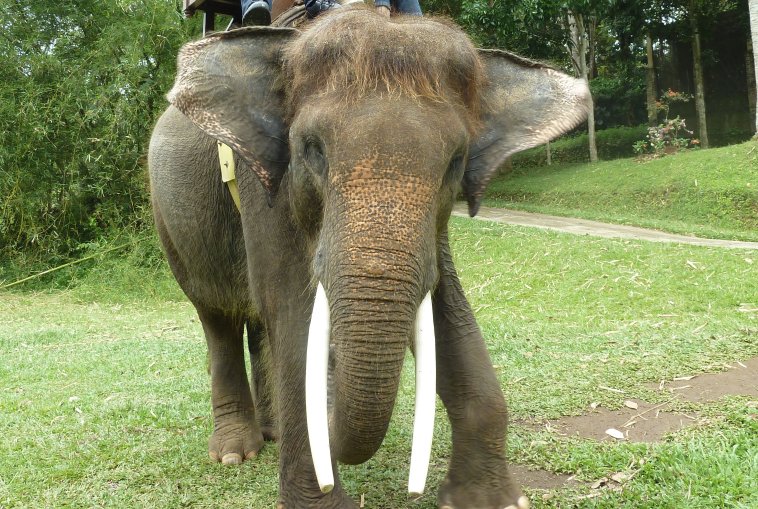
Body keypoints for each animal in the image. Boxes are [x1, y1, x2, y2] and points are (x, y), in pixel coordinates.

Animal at [148, 6, 588, 509]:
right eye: (312, 149)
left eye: (455, 162)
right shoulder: (266, 185)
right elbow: (292, 308)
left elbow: (447, 309)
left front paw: (489, 500)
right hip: (172, 224)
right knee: (217, 317)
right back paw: (235, 453)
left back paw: (272, 432)